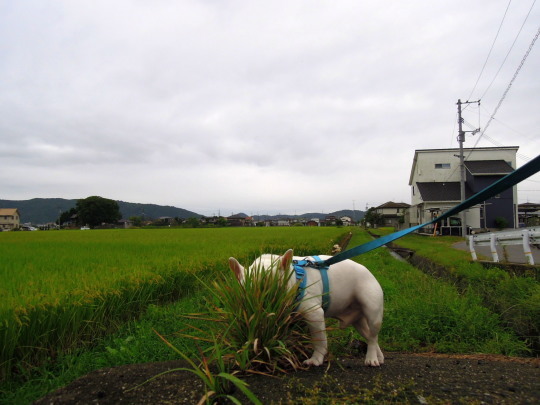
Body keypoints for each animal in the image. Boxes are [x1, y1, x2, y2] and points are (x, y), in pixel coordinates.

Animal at [228, 248, 384, 368]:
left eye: (274, 287)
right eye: (247, 291)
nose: (262, 304)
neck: (295, 276)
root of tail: (370, 273)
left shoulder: (314, 314)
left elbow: (319, 339)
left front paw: (316, 360)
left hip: (372, 308)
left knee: (373, 334)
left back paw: (371, 358)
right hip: (358, 322)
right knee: (371, 336)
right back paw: (379, 357)